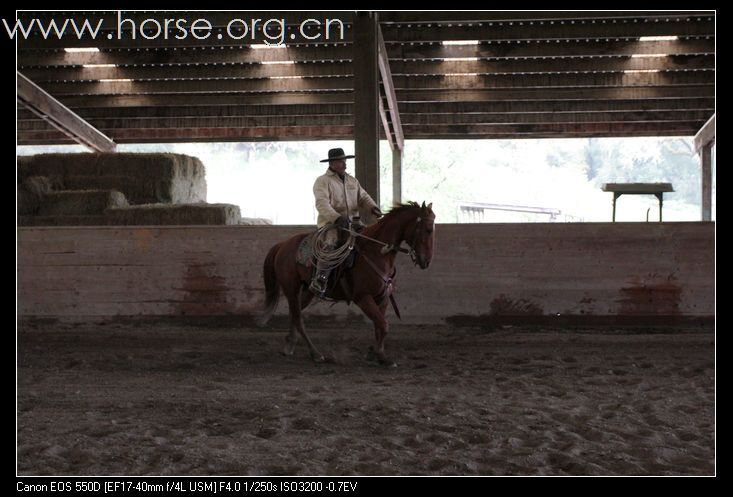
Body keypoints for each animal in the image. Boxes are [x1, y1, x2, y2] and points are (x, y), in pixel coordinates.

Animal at [258, 201, 435, 366]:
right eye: (428, 229)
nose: (426, 261)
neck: (376, 252)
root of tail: (283, 244)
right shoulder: (363, 298)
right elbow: (384, 325)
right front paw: (382, 356)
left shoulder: (383, 298)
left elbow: (379, 327)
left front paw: (375, 353)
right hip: (291, 288)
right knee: (298, 317)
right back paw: (315, 354)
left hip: (308, 291)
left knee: (295, 314)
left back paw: (290, 344)